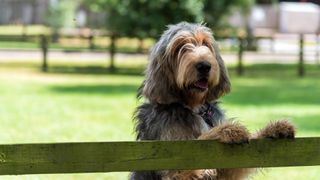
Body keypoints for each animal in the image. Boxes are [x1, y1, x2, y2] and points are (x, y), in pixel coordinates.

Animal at [129, 22, 296, 180]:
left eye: (206, 43)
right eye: (180, 47)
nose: (204, 65)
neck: (194, 107)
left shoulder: (227, 169)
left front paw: (275, 128)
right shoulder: (175, 162)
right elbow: (200, 141)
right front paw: (227, 130)